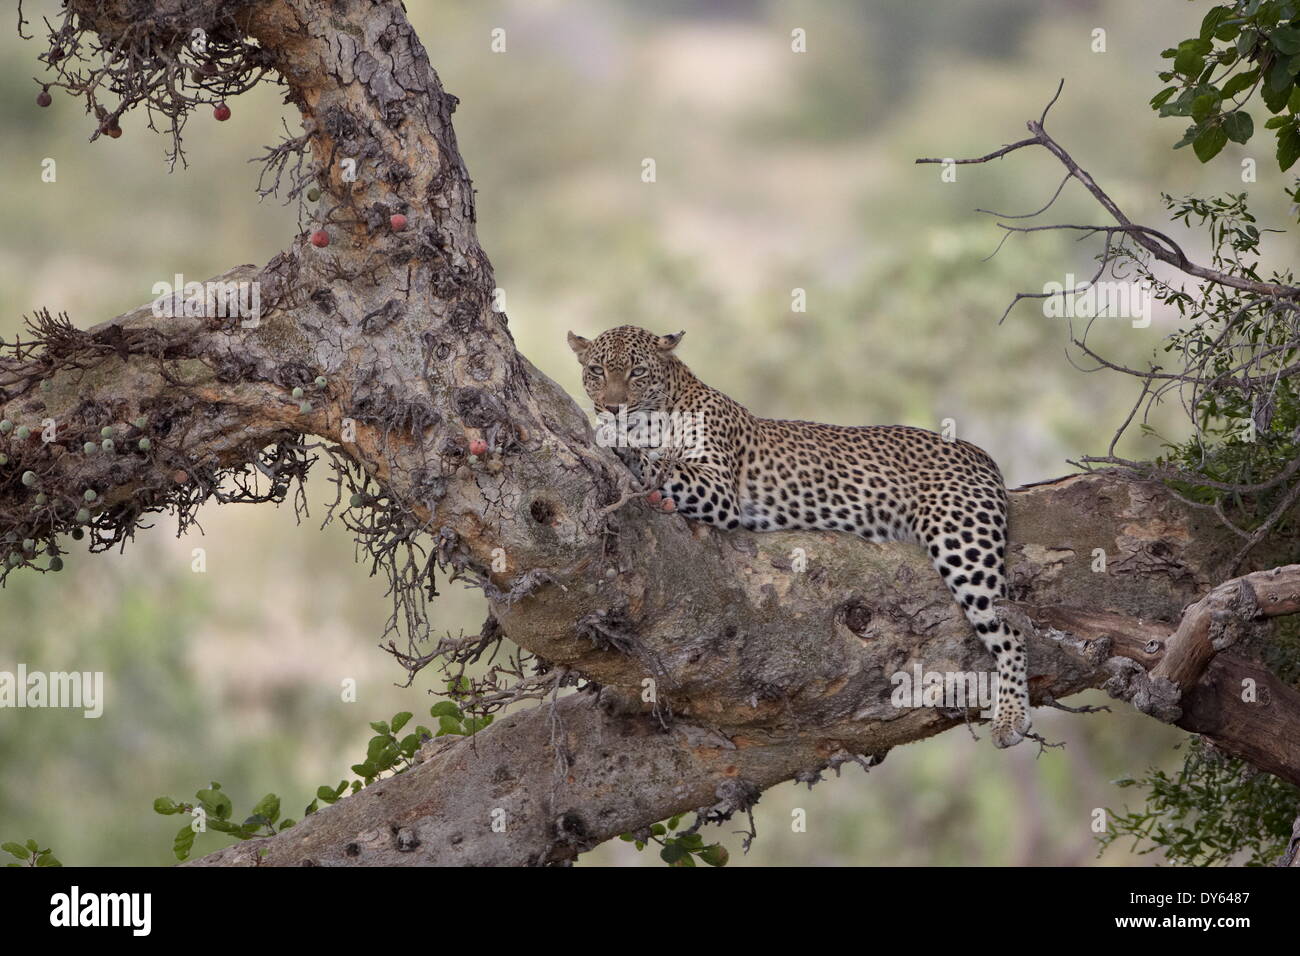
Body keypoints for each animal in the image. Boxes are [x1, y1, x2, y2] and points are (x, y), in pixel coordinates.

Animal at [569, 325, 1034, 749]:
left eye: (637, 372)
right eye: (596, 370)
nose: (611, 407)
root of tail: (979, 452)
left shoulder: (718, 487)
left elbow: (659, 464)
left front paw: (619, 442)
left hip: (963, 542)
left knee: (1012, 630)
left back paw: (1011, 717)